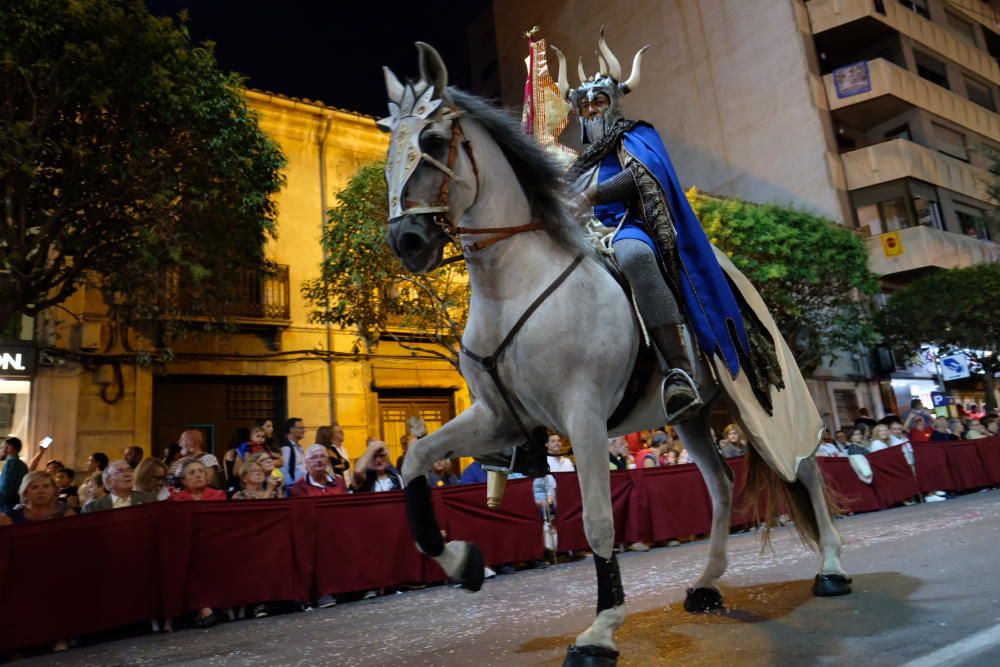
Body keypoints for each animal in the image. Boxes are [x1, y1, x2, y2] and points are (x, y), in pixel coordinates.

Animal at [376, 44, 852, 664]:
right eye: (390, 147)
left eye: (432, 140)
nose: (407, 242)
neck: (519, 285)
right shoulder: (498, 417)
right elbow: (414, 460)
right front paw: (461, 560)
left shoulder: (583, 416)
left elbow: (600, 522)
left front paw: (600, 630)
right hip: (697, 418)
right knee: (723, 486)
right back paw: (707, 583)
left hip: (759, 403)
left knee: (804, 465)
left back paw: (833, 567)